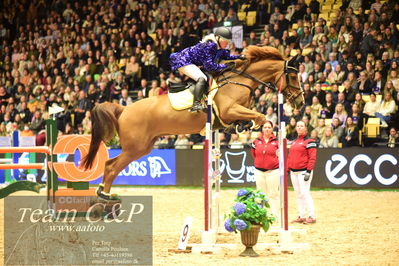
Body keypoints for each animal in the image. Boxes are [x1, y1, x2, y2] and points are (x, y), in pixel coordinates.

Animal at [83, 45, 304, 200]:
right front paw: (257, 129)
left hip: (143, 147)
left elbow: (250, 117)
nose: (301, 103)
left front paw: (244, 127)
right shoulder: (228, 110)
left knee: (111, 164)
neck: (240, 80)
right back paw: (105, 196)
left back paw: (103, 192)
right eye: (293, 75)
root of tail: (124, 109)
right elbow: (259, 116)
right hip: (134, 147)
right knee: (112, 166)